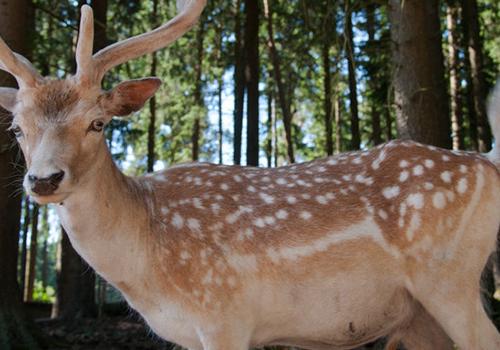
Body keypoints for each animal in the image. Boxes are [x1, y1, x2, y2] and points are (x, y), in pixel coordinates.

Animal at [0, 1, 500, 348]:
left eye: (98, 123)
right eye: (17, 128)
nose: (44, 180)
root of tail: (487, 161)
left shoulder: (223, 311)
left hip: (448, 276)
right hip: (418, 315)